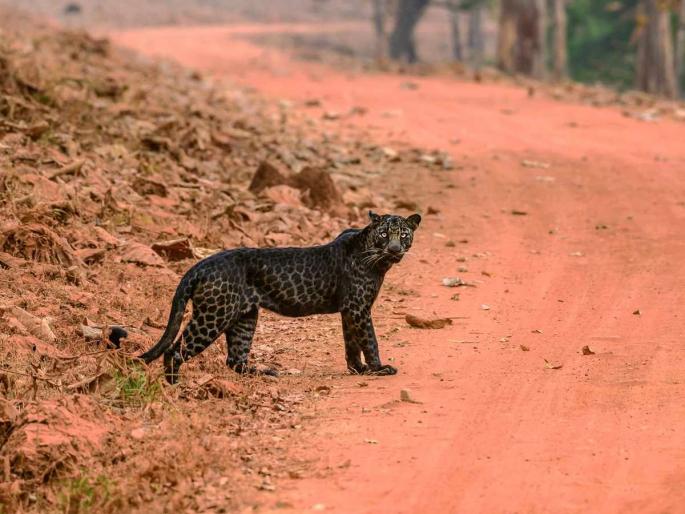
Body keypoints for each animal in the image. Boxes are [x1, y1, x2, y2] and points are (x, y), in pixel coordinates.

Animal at [138, 211, 421, 384]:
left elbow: (351, 342)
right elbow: (369, 339)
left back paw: (265, 372)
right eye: (384, 234)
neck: (377, 259)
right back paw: (175, 387)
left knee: (235, 359)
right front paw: (378, 368)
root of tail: (200, 265)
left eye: (403, 234)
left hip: (245, 317)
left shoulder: (350, 310)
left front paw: (358, 369)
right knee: (175, 351)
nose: (395, 248)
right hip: (214, 316)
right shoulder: (358, 307)